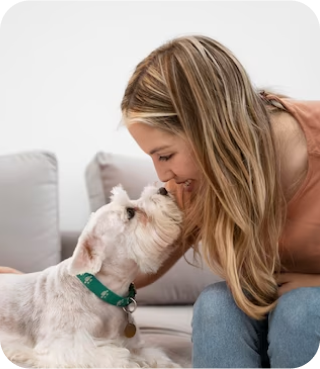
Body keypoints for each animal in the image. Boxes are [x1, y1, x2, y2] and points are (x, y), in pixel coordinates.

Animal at [0, 185, 184, 366]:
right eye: (130, 212)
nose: (163, 189)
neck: (101, 292)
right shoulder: (67, 348)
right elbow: (120, 358)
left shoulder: (137, 347)